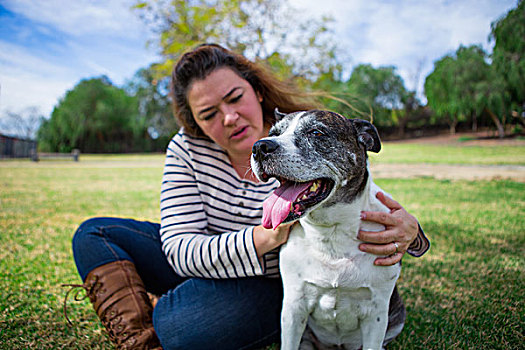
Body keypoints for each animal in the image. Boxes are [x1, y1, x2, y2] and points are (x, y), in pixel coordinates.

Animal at [250, 109, 402, 350]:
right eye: (273, 133)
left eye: (316, 132)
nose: (260, 146)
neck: (332, 234)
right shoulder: (293, 308)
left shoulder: (376, 315)